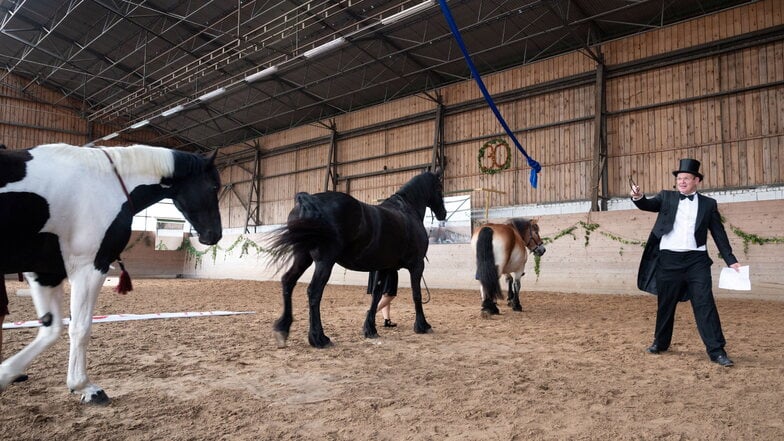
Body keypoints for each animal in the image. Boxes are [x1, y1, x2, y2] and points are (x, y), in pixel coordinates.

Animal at [0, 144, 220, 402]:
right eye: (214, 187)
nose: (215, 234)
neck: (106, 182)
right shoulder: (89, 268)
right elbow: (80, 328)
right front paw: (85, 386)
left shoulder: (46, 273)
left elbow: (51, 329)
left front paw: (6, 374)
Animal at [266, 170, 444, 348]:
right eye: (439, 187)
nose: (443, 213)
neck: (407, 211)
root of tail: (309, 200)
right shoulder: (417, 265)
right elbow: (417, 294)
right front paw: (422, 325)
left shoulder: (385, 267)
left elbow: (376, 295)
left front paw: (370, 329)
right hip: (325, 262)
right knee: (314, 292)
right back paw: (319, 338)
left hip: (303, 257)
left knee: (288, 281)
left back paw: (283, 329)